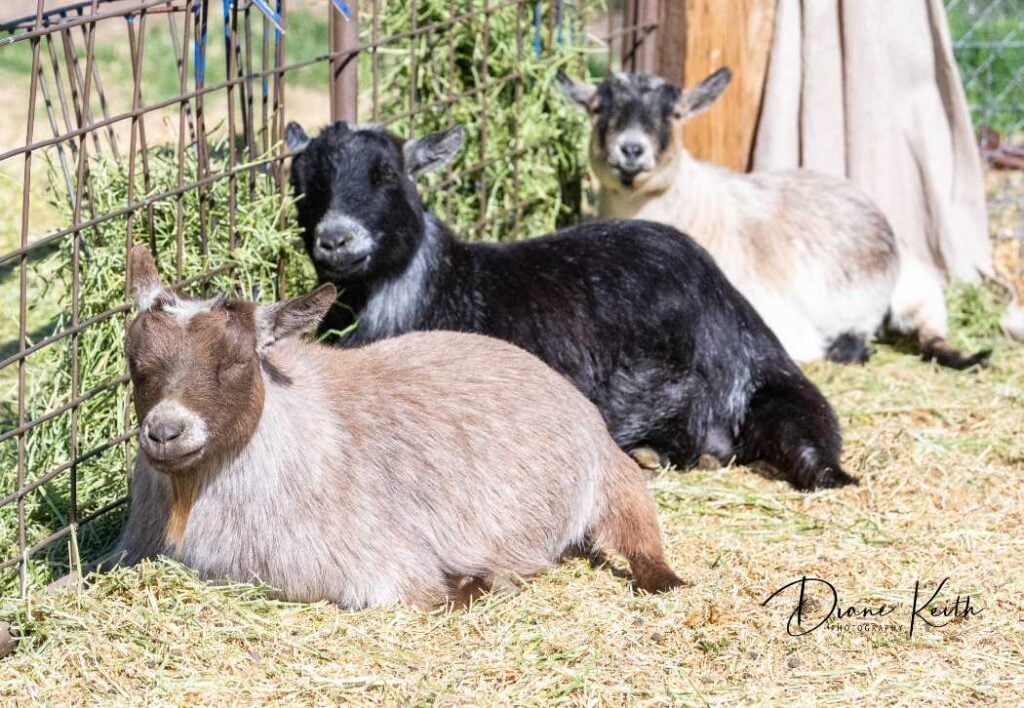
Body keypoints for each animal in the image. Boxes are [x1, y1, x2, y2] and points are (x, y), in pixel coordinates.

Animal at [113, 246, 682, 608]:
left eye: (235, 362)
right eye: (135, 360)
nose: (165, 433)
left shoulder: (382, 564)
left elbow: (441, 594)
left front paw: (490, 581)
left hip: (612, 478)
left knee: (641, 537)